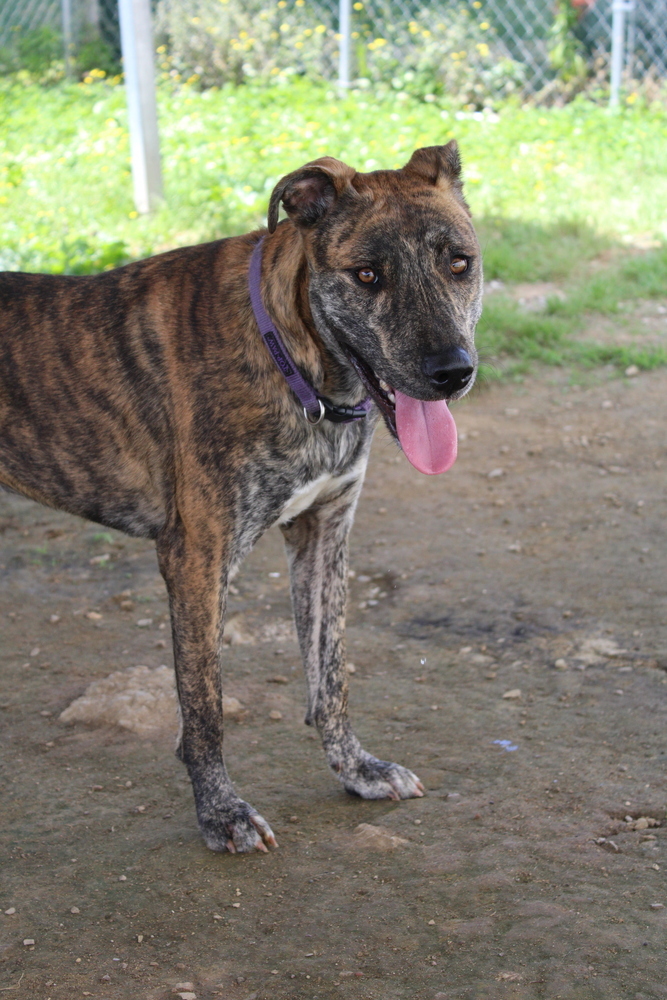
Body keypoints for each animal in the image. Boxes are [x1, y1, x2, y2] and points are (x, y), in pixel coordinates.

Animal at [0, 145, 480, 856]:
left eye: (459, 263)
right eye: (367, 275)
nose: (452, 373)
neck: (298, 364)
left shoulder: (324, 534)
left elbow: (329, 674)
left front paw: (357, 769)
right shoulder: (196, 560)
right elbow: (205, 705)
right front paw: (220, 812)